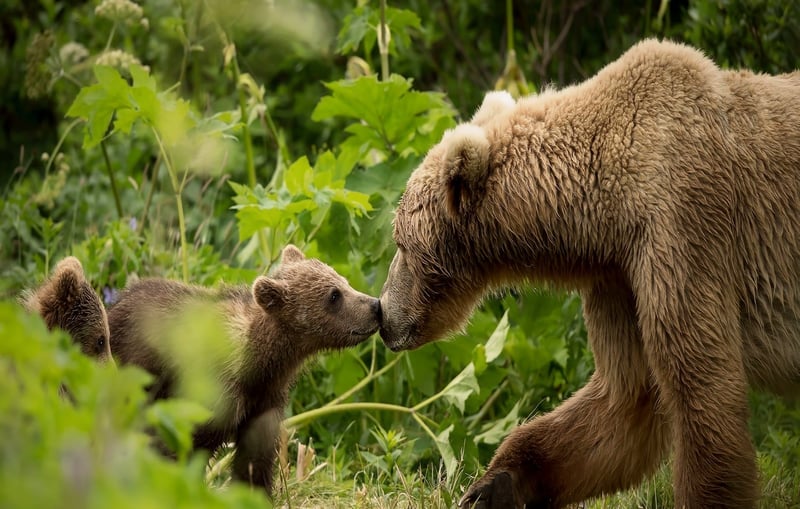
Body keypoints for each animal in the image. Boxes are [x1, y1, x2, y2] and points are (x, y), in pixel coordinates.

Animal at [107, 244, 381, 495]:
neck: (259, 365)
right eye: (334, 295)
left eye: (343, 280)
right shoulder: (212, 394)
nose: (375, 306)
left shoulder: (264, 403)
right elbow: (178, 447)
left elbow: (254, 462)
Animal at [378, 38, 800, 509]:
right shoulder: (620, 275)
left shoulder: (684, 227)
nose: (384, 314)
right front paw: (492, 485)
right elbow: (623, 400)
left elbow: (698, 381)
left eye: (401, 243)